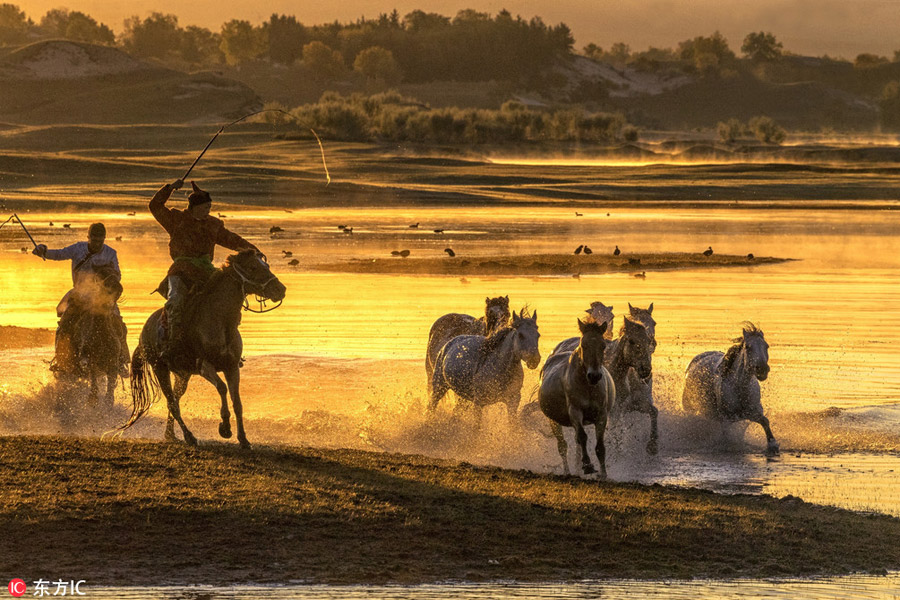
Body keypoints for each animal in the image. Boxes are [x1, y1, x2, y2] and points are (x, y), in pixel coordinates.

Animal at [120, 250, 284, 450]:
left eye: (266, 265)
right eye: (253, 267)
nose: (280, 289)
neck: (221, 321)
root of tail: (144, 332)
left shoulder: (231, 367)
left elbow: (237, 401)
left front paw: (244, 439)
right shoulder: (204, 365)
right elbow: (222, 388)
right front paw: (225, 428)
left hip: (183, 374)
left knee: (174, 400)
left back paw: (171, 435)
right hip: (160, 368)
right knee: (172, 403)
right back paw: (189, 436)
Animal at [536, 318, 616, 478]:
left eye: (603, 346)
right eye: (583, 345)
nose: (594, 376)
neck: (588, 387)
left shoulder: (601, 415)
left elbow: (600, 446)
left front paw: (603, 474)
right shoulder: (575, 411)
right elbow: (583, 437)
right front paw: (588, 466)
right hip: (553, 420)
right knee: (563, 446)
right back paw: (568, 472)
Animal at [680, 324, 776, 454]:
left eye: (766, 346)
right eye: (748, 347)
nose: (762, 369)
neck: (739, 388)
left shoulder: (753, 412)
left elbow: (765, 421)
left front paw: (773, 445)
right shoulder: (726, 419)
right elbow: (727, 436)